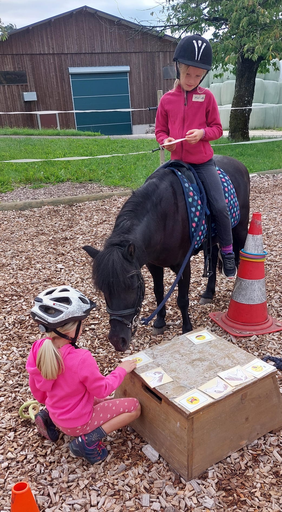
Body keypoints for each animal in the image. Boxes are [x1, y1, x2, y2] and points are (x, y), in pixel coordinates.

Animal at [83, 153, 249, 352]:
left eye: (132, 287)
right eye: (103, 289)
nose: (118, 340)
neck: (161, 218)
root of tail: (239, 164)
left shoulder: (183, 265)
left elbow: (182, 298)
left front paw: (187, 328)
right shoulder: (153, 264)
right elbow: (158, 292)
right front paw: (159, 322)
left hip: (240, 227)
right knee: (214, 253)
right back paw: (208, 293)